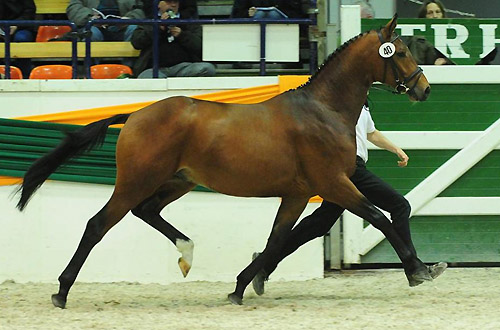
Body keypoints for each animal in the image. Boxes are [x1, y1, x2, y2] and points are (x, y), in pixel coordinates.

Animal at [17, 14, 432, 306]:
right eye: (402, 53)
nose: (424, 89)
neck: (322, 110)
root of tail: (135, 115)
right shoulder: (334, 183)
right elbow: (379, 217)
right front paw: (417, 270)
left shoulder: (298, 194)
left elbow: (277, 238)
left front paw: (240, 287)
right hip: (136, 180)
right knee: (98, 224)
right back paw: (61, 292)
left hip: (178, 181)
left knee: (146, 211)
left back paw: (186, 253)